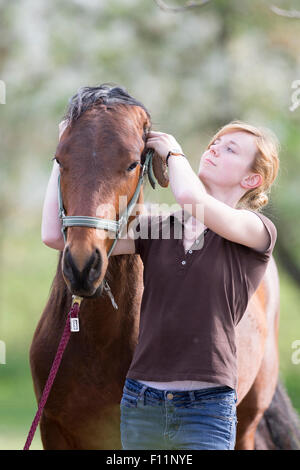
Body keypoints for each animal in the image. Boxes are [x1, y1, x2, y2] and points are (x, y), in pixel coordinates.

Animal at [30, 83, 300, 448]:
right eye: (60, 159)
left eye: (132, 164)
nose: (83, 266)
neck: (97, 345)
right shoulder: (53, 429)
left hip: (245, 422)